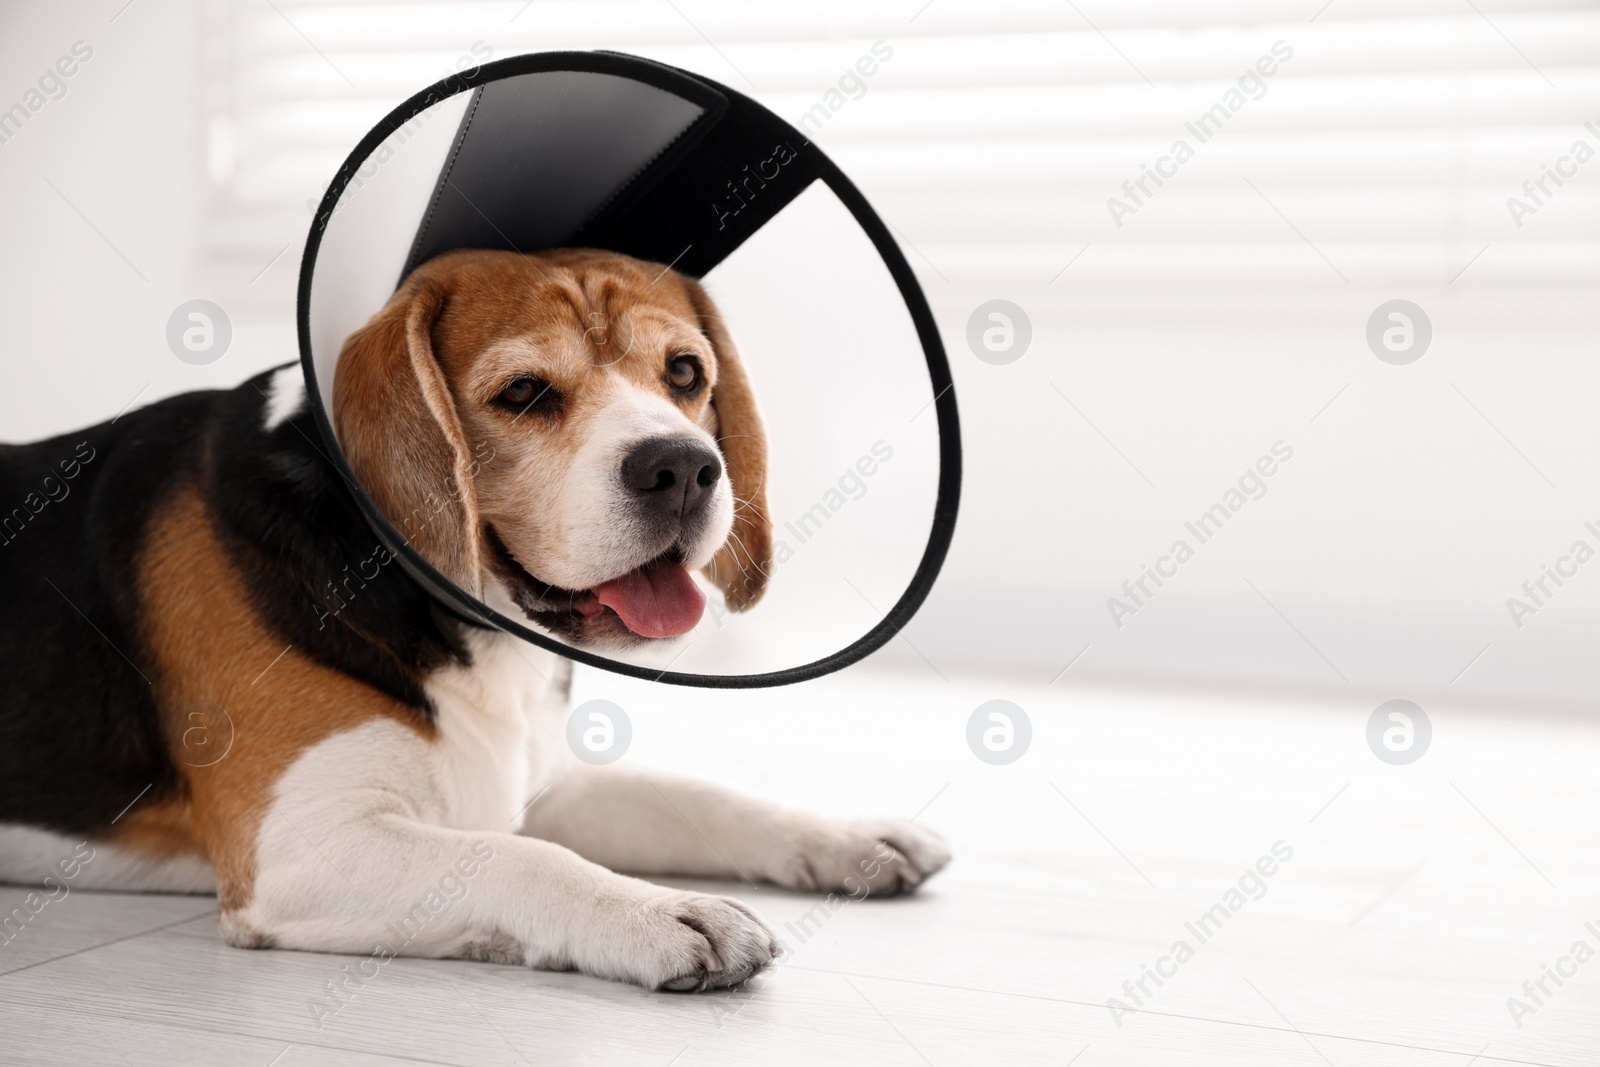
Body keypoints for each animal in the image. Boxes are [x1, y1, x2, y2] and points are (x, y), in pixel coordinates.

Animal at [0, 247, 947, 991]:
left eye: (684, 373)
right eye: (524, 392)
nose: (683, 467)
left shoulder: (536, 780)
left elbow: (701, 798)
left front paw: (847, 835)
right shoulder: (296, 851)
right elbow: (524, 857)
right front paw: (660, 910)